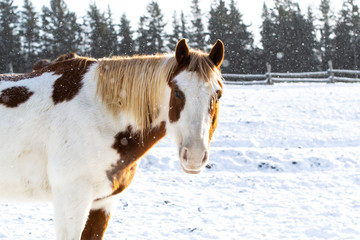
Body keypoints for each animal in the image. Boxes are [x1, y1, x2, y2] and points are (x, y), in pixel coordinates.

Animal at [0, 38, 224, 239]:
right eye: (177, 92)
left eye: (218, 94)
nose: (194, 156)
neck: (99, 116)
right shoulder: (70, 198)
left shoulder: (103, 202)